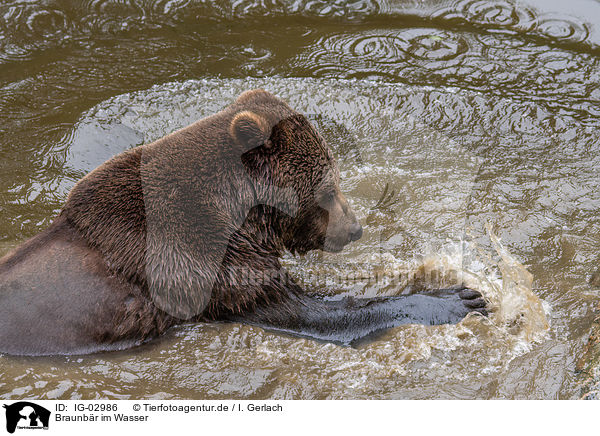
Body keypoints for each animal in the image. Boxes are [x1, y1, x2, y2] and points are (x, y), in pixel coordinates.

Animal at [0, 90, 488, 356]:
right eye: (328, 188)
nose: (355, 229)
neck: (240, 213)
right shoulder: (206, 262)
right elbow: (315, 312)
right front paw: (458, 296)